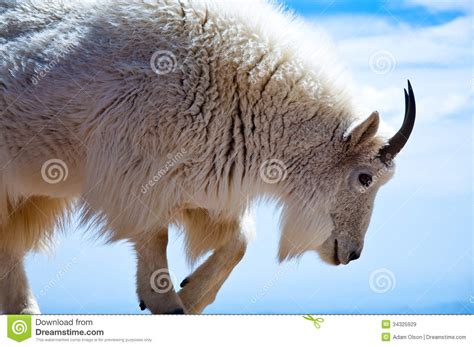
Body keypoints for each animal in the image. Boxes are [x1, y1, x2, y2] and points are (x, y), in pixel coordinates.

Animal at [0, 0, 414, 316]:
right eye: (364, 177)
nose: (353, 253)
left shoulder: (201, 182)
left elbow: (239, 240)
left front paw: (191, 296)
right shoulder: (137, 174)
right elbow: (156, 235)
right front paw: (167, 303)